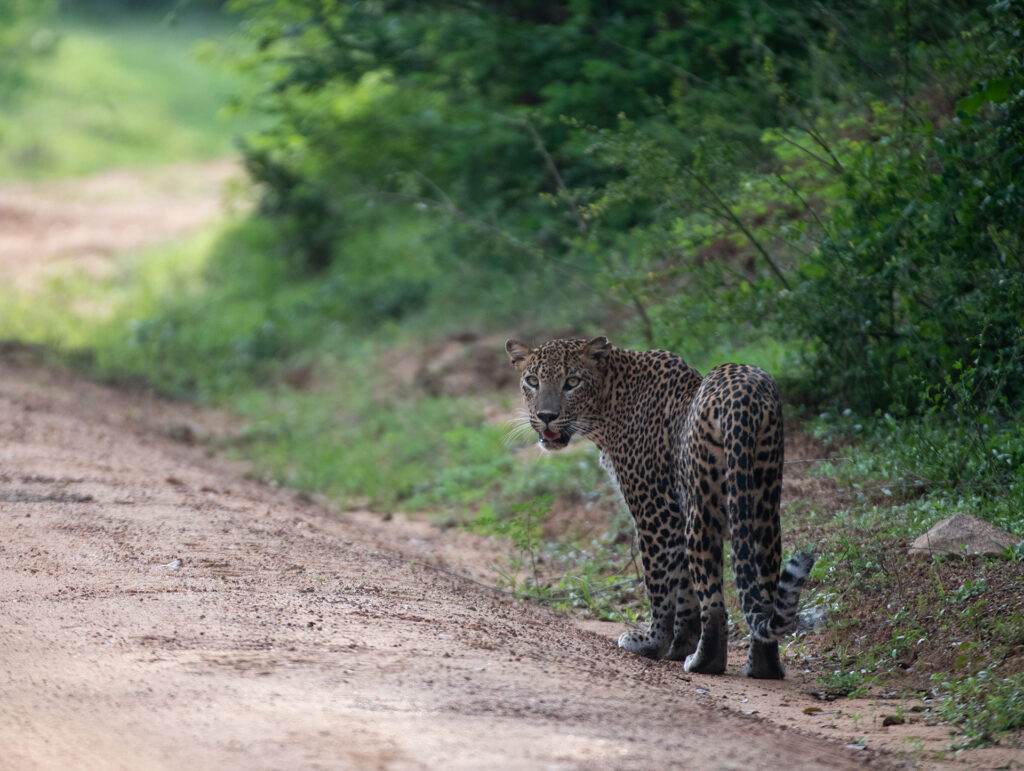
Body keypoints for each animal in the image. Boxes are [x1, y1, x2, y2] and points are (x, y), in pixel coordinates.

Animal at [505, 333, 815, 675]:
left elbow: (660, 585)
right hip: (762, 505)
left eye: (572, 382)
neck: (609, 403)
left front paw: (652, 643)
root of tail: (742, 397)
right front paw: (680, 645)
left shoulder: (657, 512)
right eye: (533, 381)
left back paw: (704, 662)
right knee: (763, 587)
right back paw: (762, 668)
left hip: (701, 511)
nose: (546, 416)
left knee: (714, 601)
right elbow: (685, 590)